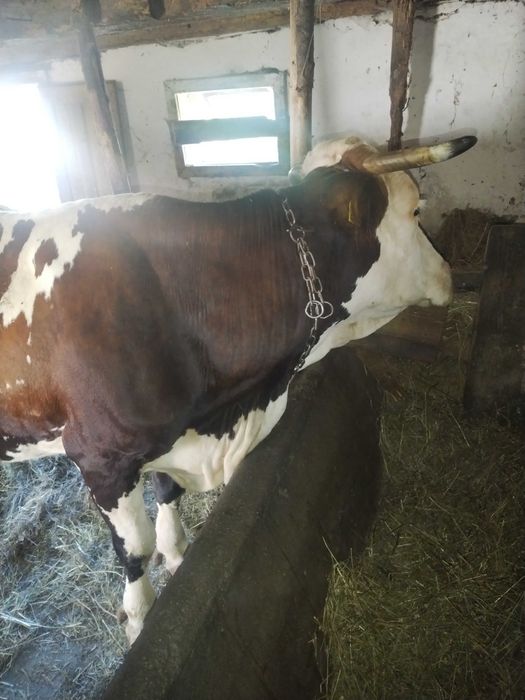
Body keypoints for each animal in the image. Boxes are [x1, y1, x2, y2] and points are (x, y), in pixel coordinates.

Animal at [0, 134, 476, 643]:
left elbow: (168, 492)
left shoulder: (176, 434)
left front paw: (178, 554)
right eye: (415, 211)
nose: (450, 271)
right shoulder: (102, 458)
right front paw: (140, 618)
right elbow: (136, 550)